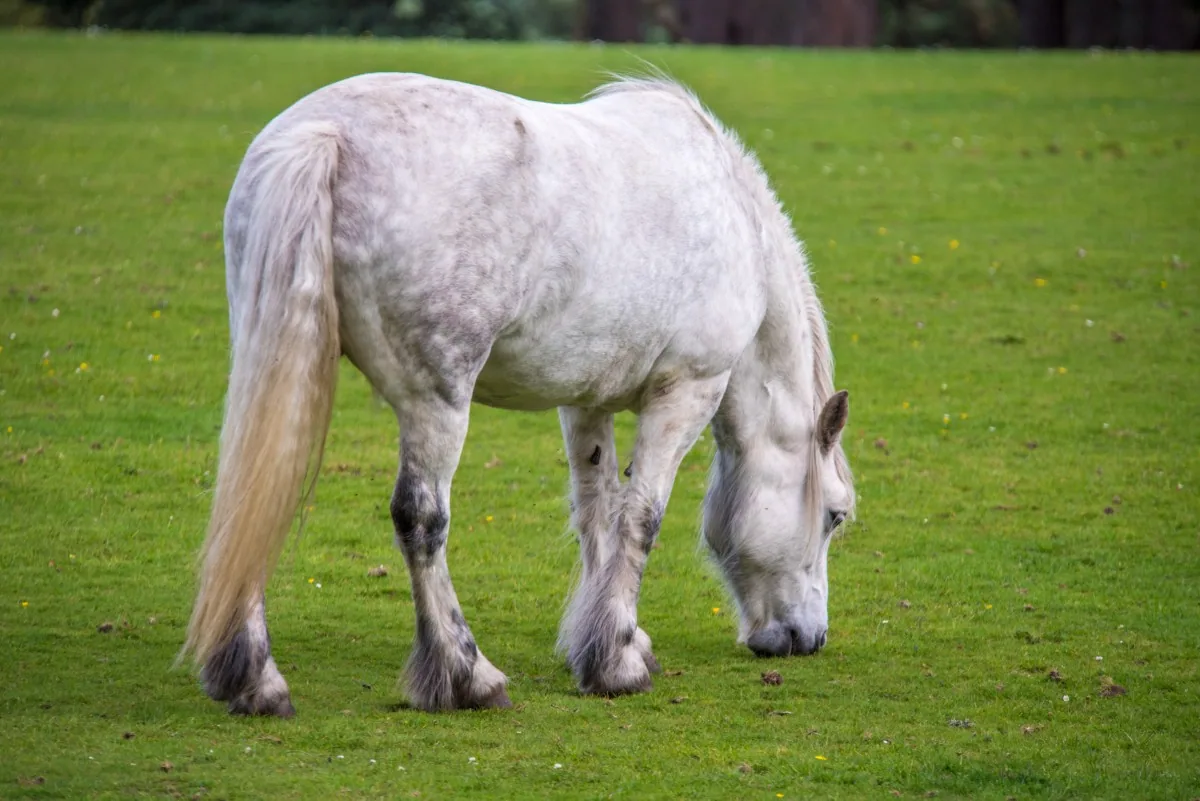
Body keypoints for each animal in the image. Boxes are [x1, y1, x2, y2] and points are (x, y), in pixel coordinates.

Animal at [181, 72, 856, 717]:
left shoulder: (586, 402)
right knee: (421, 519)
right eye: (836, 516)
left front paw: (611, 642)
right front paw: (618, 663)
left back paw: (254, 681)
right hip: (436, 402)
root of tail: (327, 134)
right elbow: (641, 518)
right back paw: (465, 676)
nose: (809, 638)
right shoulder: (685, 393)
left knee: (255, 496)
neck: (735, 217)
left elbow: (597, 512)